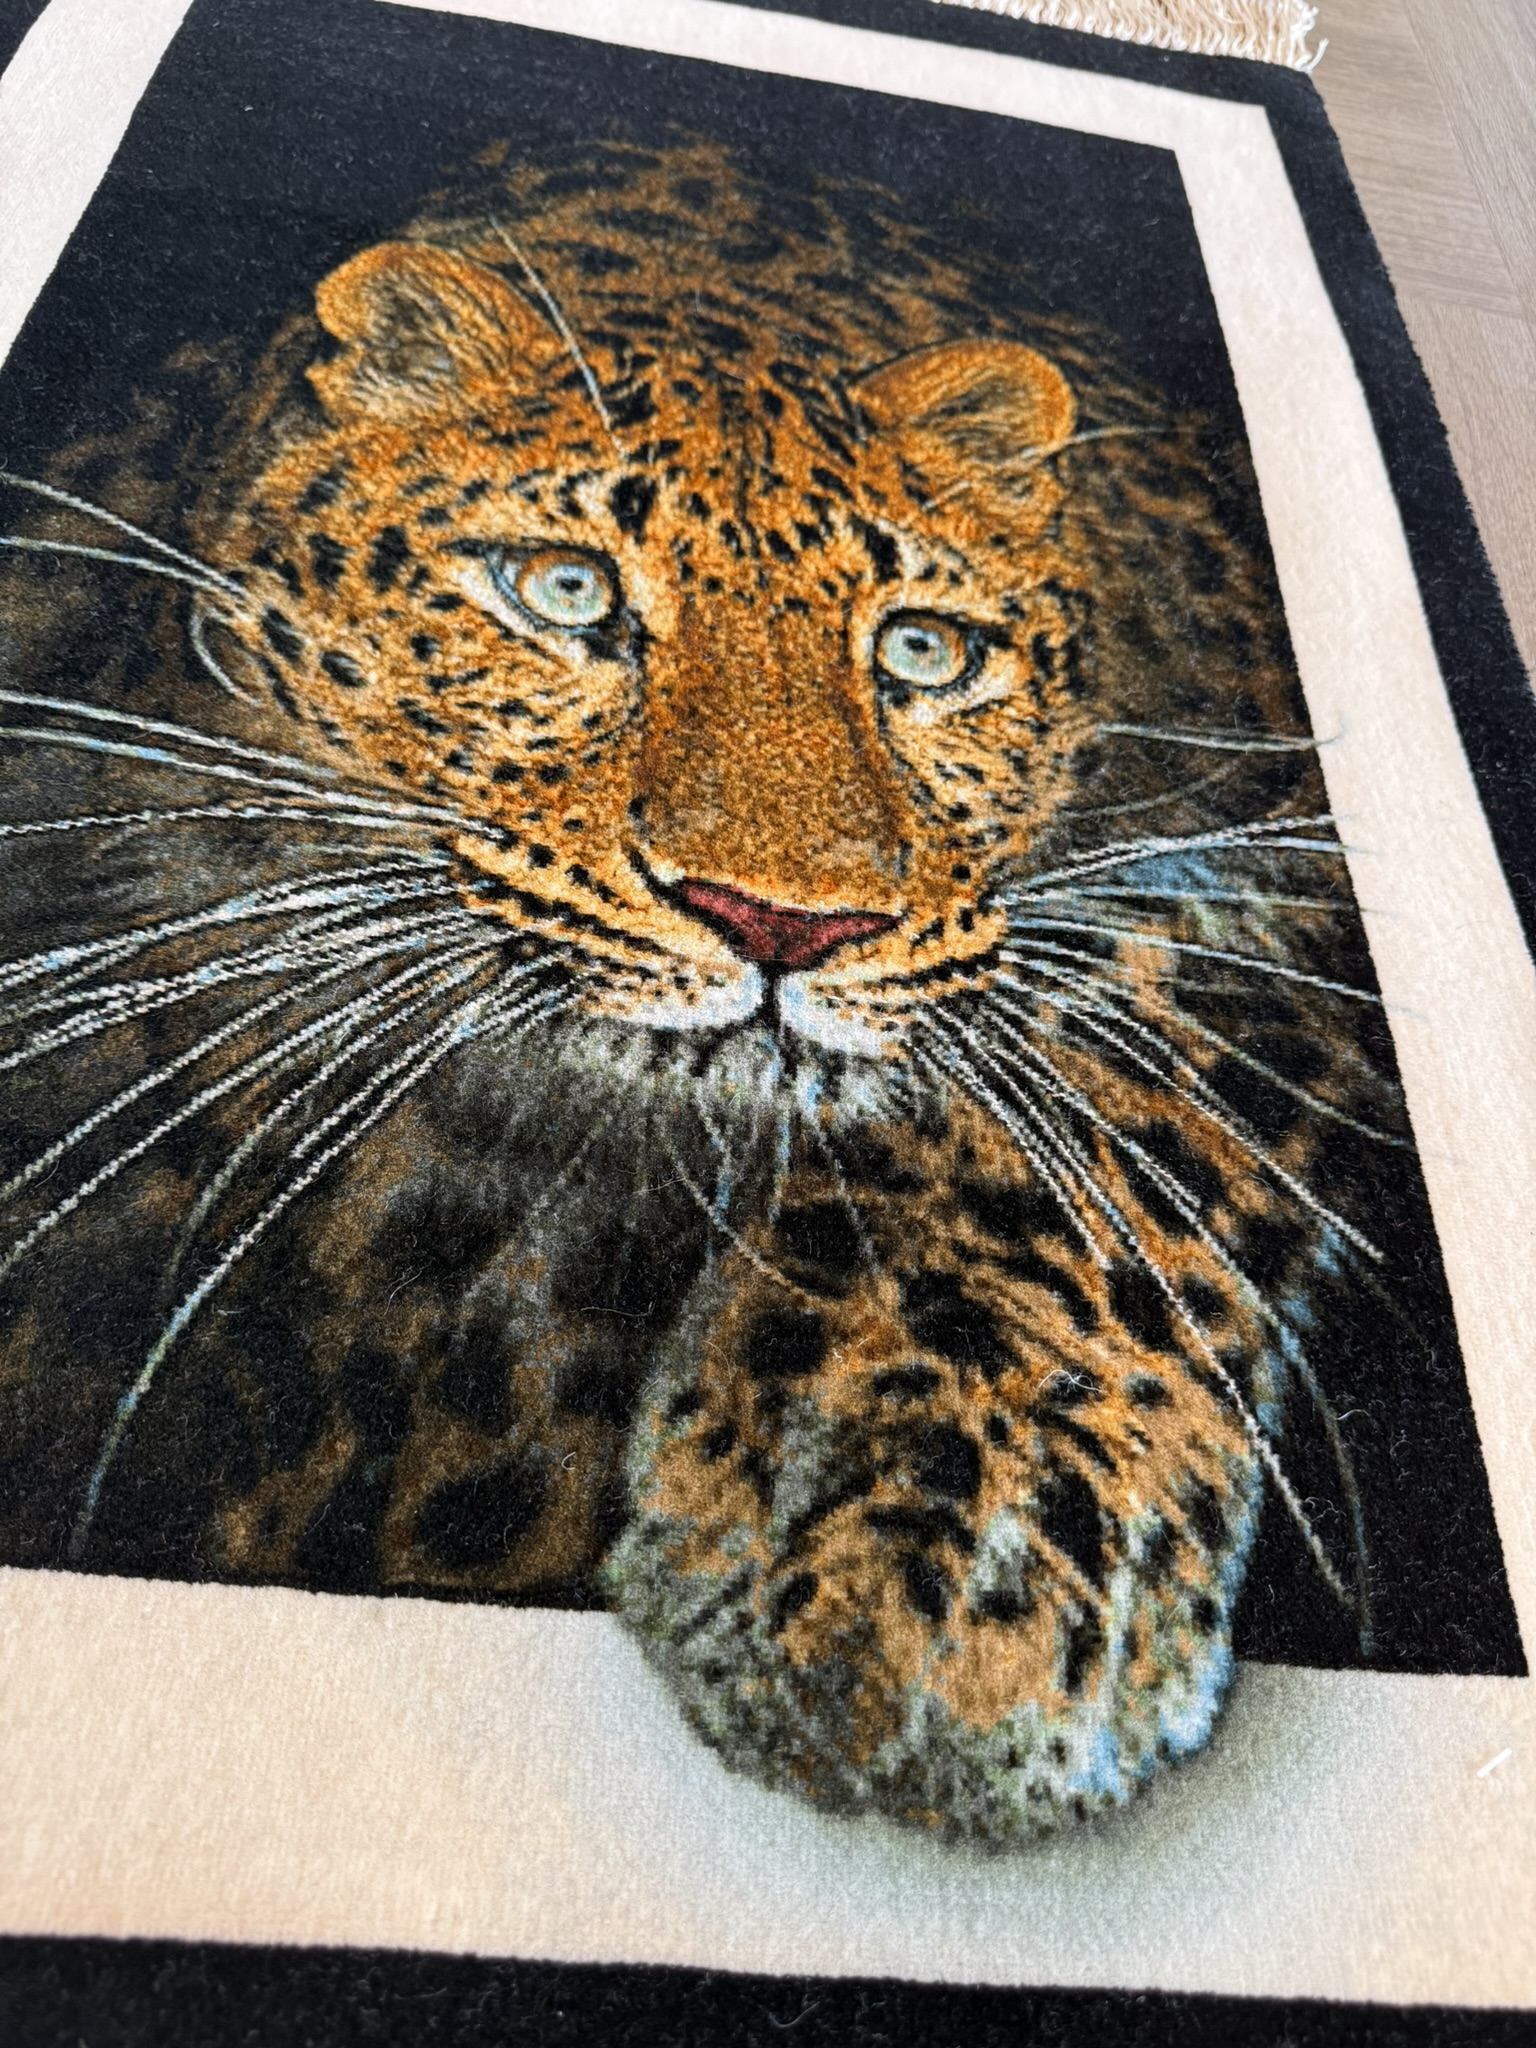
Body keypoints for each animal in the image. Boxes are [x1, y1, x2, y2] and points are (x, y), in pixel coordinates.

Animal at [0, 139, 1406, 1843]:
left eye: (924, 653)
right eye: (561, 592)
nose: (781, 925)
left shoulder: (1292, 838)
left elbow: (1118, 1063)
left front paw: (954, 1556)